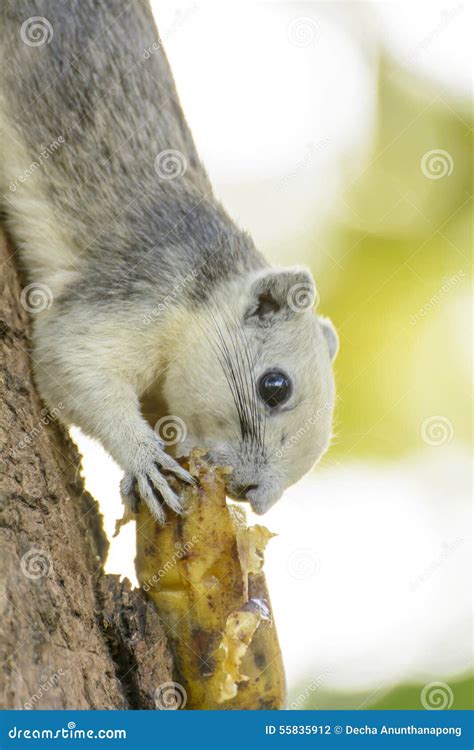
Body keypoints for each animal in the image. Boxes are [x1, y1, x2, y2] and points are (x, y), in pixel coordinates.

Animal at [0, 1, 338, 522]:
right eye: (275, 386)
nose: (251, 493)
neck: (204, 290)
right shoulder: (139, 289)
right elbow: (72, 361)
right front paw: (146, 461)